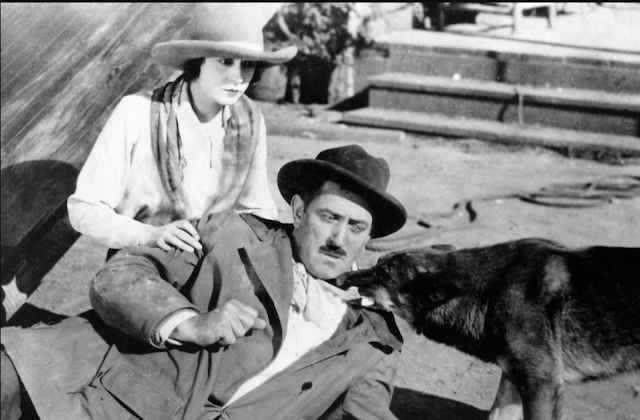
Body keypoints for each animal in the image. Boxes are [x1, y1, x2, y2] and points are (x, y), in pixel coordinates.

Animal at [337, 238, 640, 420]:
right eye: (377, 263)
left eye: (385, 275)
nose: (339, 277)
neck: (492, 291)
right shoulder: (513, 379)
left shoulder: (541, 385)